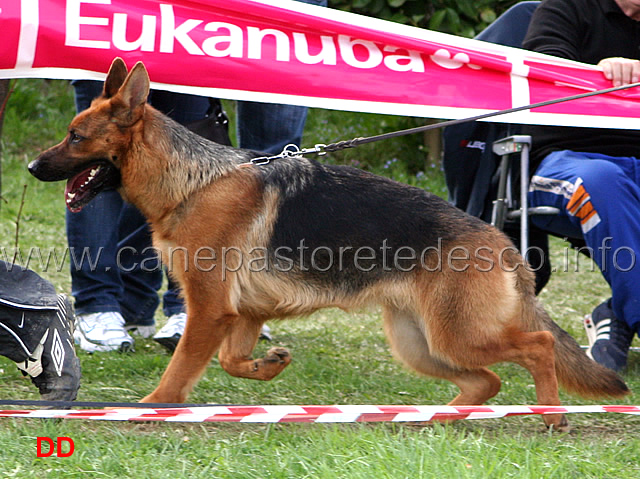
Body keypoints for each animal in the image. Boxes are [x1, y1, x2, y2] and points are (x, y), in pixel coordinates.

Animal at [31, 59, 632, 432]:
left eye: (76, 137)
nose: (33, 166)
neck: (194, 181)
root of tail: (499, 238)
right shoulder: (241, 314)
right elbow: (231, 361)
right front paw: (269, 366)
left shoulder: (209, 309)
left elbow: (180, 371)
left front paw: (152, 409)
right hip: (423, 344)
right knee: (487, 381)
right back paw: (438, 417)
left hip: (458, 335)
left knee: (538, 345)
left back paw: (549, 413)